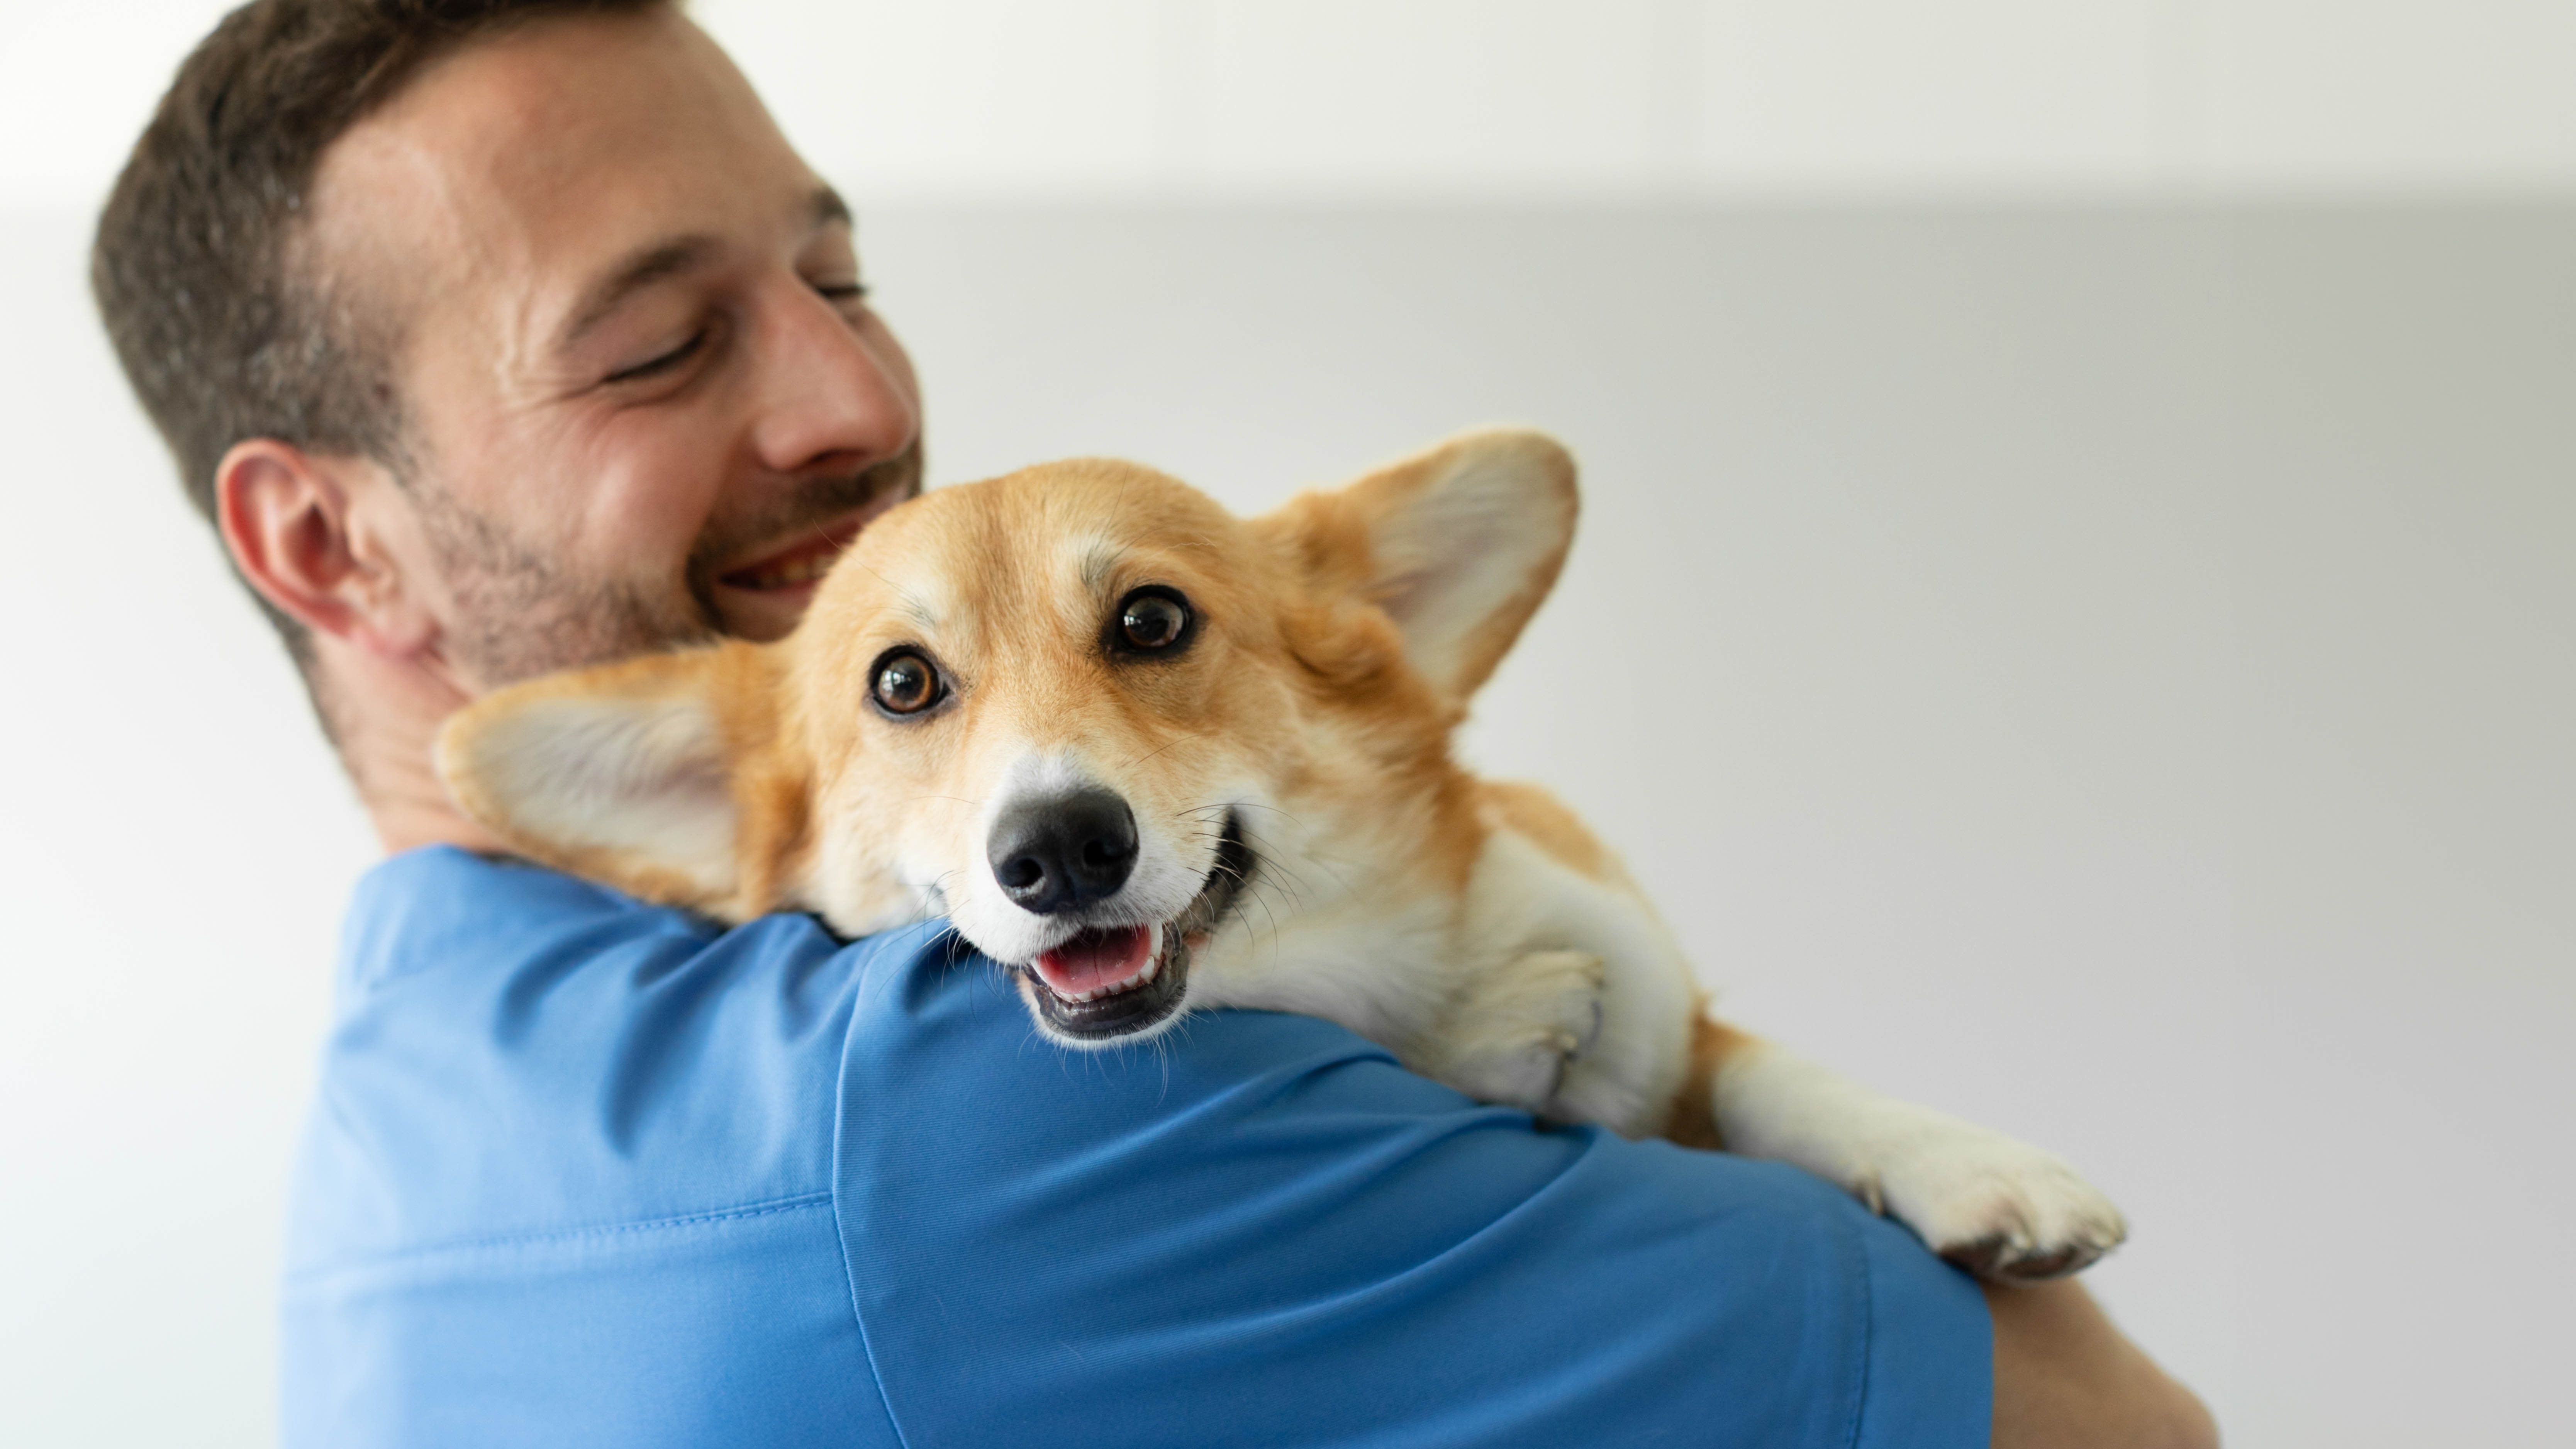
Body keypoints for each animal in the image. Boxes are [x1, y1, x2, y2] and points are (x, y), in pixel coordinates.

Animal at [448, 428, 2133, 1274]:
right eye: (903, 683)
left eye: (1151, 620)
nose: (1060, 849)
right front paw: (1517, 1034)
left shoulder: (1653, 976)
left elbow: (1758, 1066)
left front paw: (1973, 1166)